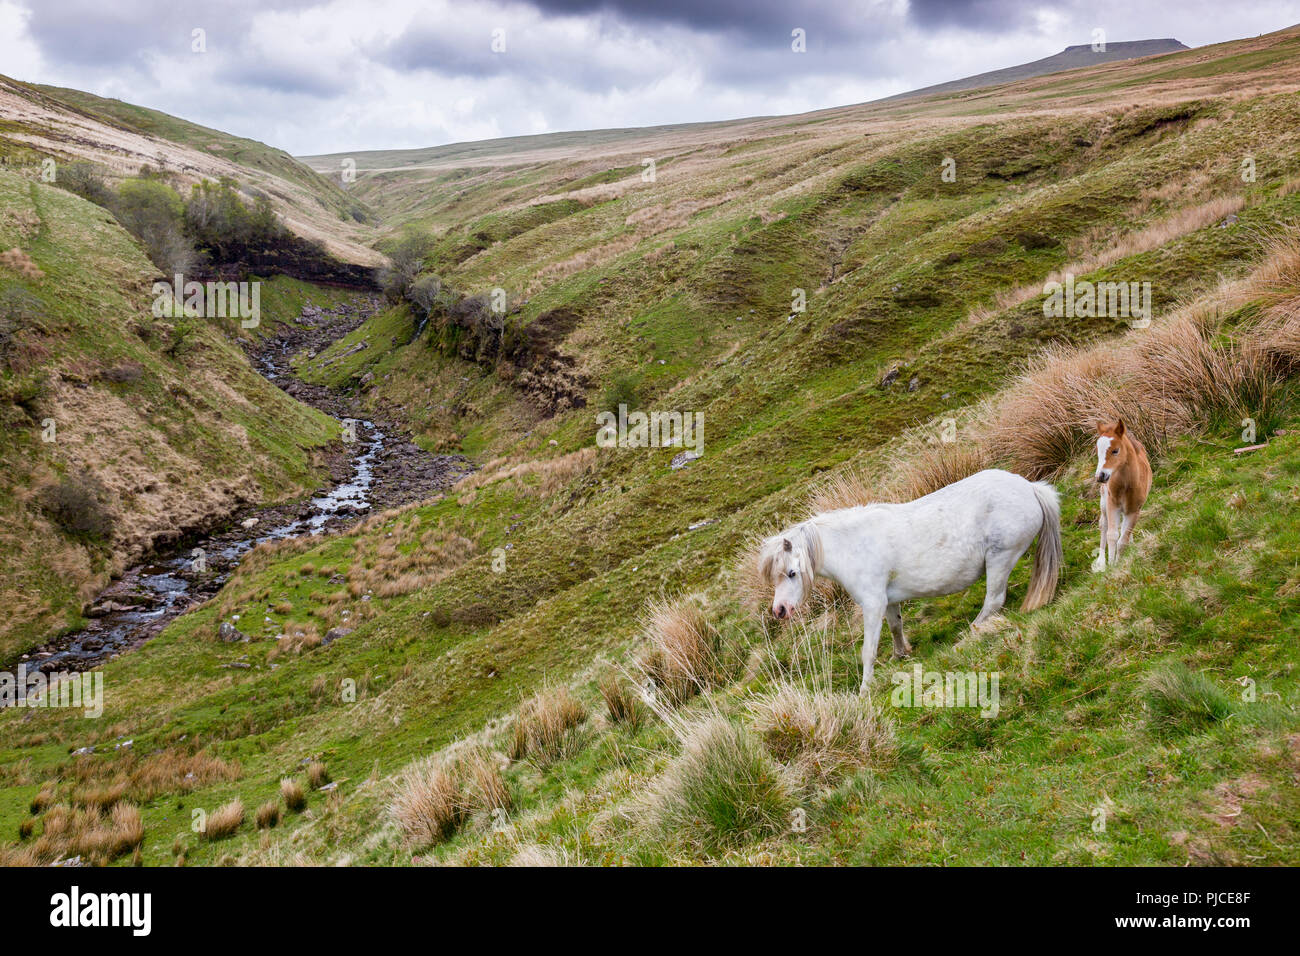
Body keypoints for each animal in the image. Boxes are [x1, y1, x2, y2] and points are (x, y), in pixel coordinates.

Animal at [759, 469, 1062, 693]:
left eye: (791, 573)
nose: (779, 610)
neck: (854, 546)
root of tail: (1030, 488)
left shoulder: (873, 604)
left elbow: (868, 651)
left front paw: (865, 689)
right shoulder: (888, 600)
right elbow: (895, 627)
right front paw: (899, 655)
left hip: (1000, 559)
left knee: (994, 601)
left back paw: (968, 637)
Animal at [1092, 419, 1152, 570]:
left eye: (1115, 450)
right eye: (1098, 452)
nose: (1100, 476)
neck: (1127, 483)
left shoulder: (1134, 510)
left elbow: (1122, 539)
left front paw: (1118, 563)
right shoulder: (1112, 504)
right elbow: (1112, 535)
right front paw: (1111, 564)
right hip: (1104, 501)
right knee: (1103, 524)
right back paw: (1100, 562)